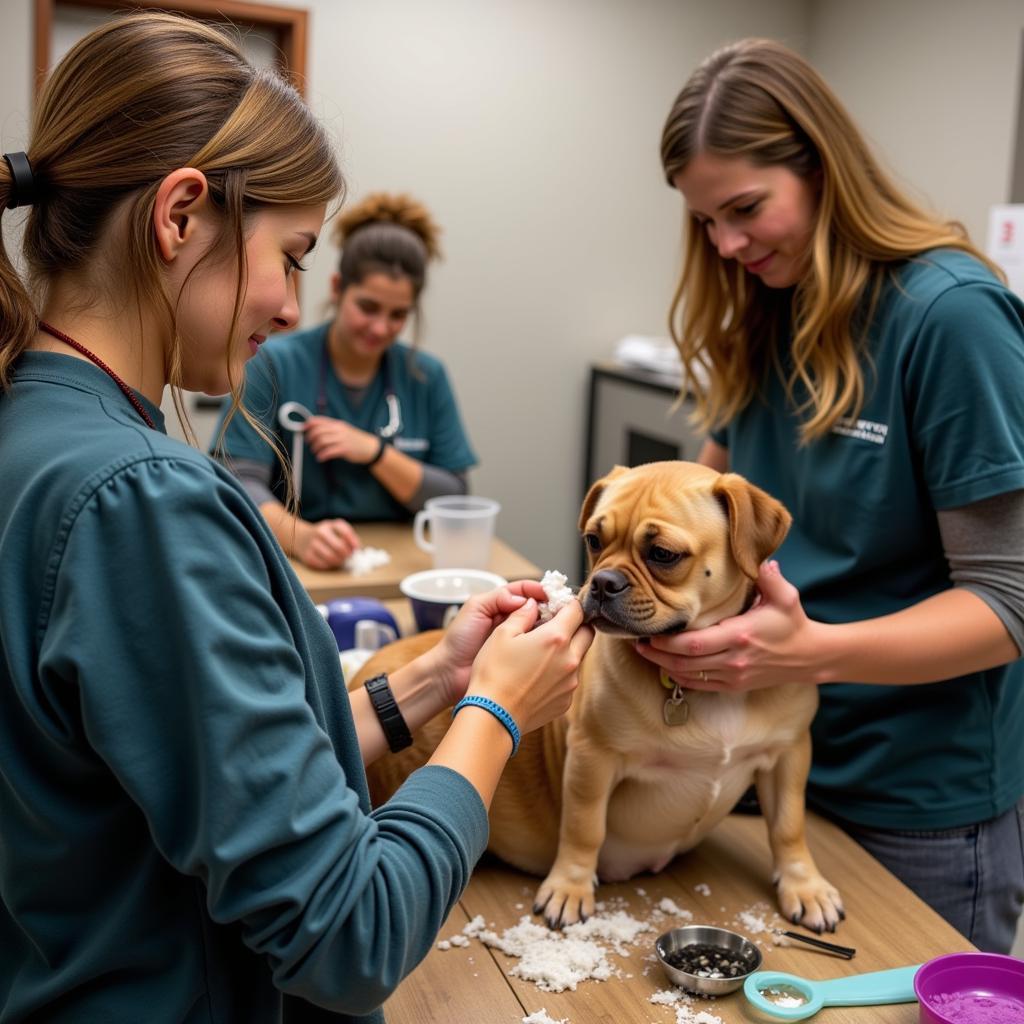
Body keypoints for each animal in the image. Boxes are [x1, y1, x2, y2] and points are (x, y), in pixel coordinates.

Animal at [352, 464, 839, 937]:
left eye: (663, 554)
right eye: (593, 540)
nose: (603, 582)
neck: (700, 687)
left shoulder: (789, 755)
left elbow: (789, 826)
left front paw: (804, 885)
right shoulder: (593, 758)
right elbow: (584, 827)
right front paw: (570, 887)